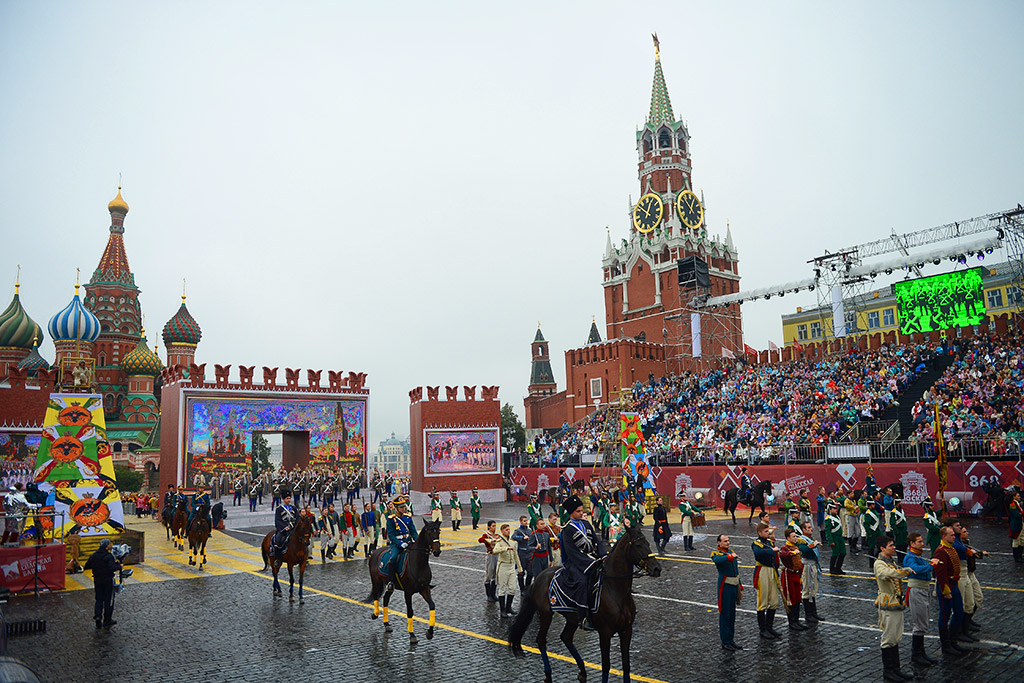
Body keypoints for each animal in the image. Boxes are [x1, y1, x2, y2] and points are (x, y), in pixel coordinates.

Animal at [509, 520, 663, 679]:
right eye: (638, 545)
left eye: (648, 543)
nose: (657, 568)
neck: (616, 591)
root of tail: (539, 577)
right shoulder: (605, 632)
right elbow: (606, 666)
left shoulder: (627, 630)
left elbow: (626, 666)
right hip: (545, 614)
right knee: (541, 640)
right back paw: (548, 673)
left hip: (572, 618)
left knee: (566, 637)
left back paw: (582, 670)